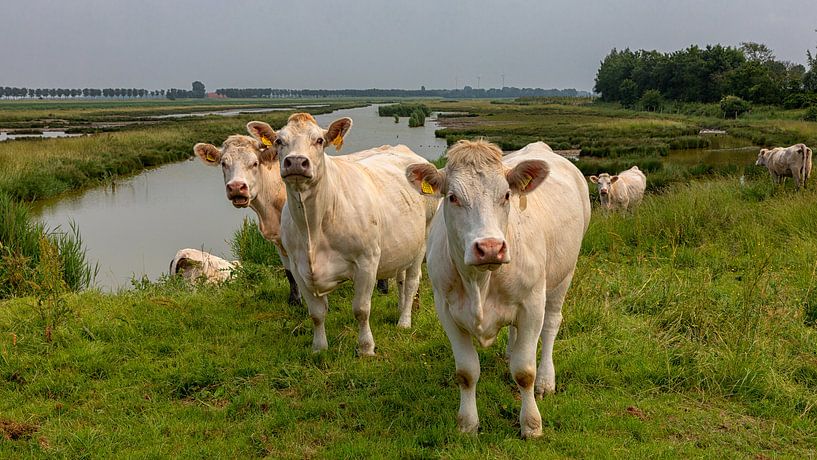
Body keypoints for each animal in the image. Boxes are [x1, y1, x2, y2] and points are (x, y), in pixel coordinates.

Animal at [194, 125, 301, 305]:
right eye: (223, 163)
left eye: (255, 163)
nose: (237, 187)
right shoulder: (278, 240)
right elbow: (290, 272)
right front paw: (294, 301)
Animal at [271, 113, 438, 355]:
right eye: (278, 141)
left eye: (319, 140)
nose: (296, 162)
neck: (313, 228)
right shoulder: (297, 266)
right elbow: (316, 313)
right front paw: (319, 347)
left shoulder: (367, 260)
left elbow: (361, 309)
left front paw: (366, 348)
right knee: (400, 278)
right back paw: (400, 309)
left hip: (422, 239)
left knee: (412, 281)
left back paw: (404, 321)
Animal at [406, 140, 591, 438]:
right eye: (452, 197)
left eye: (506, 195)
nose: (490, 247)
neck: (480, 283)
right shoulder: (446, 309)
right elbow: (467, 372)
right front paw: (467, 424)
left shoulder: (532, 305)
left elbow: (525, 372)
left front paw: (531, 424)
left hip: (564, 275)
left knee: (551, 324)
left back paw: (546, 380)